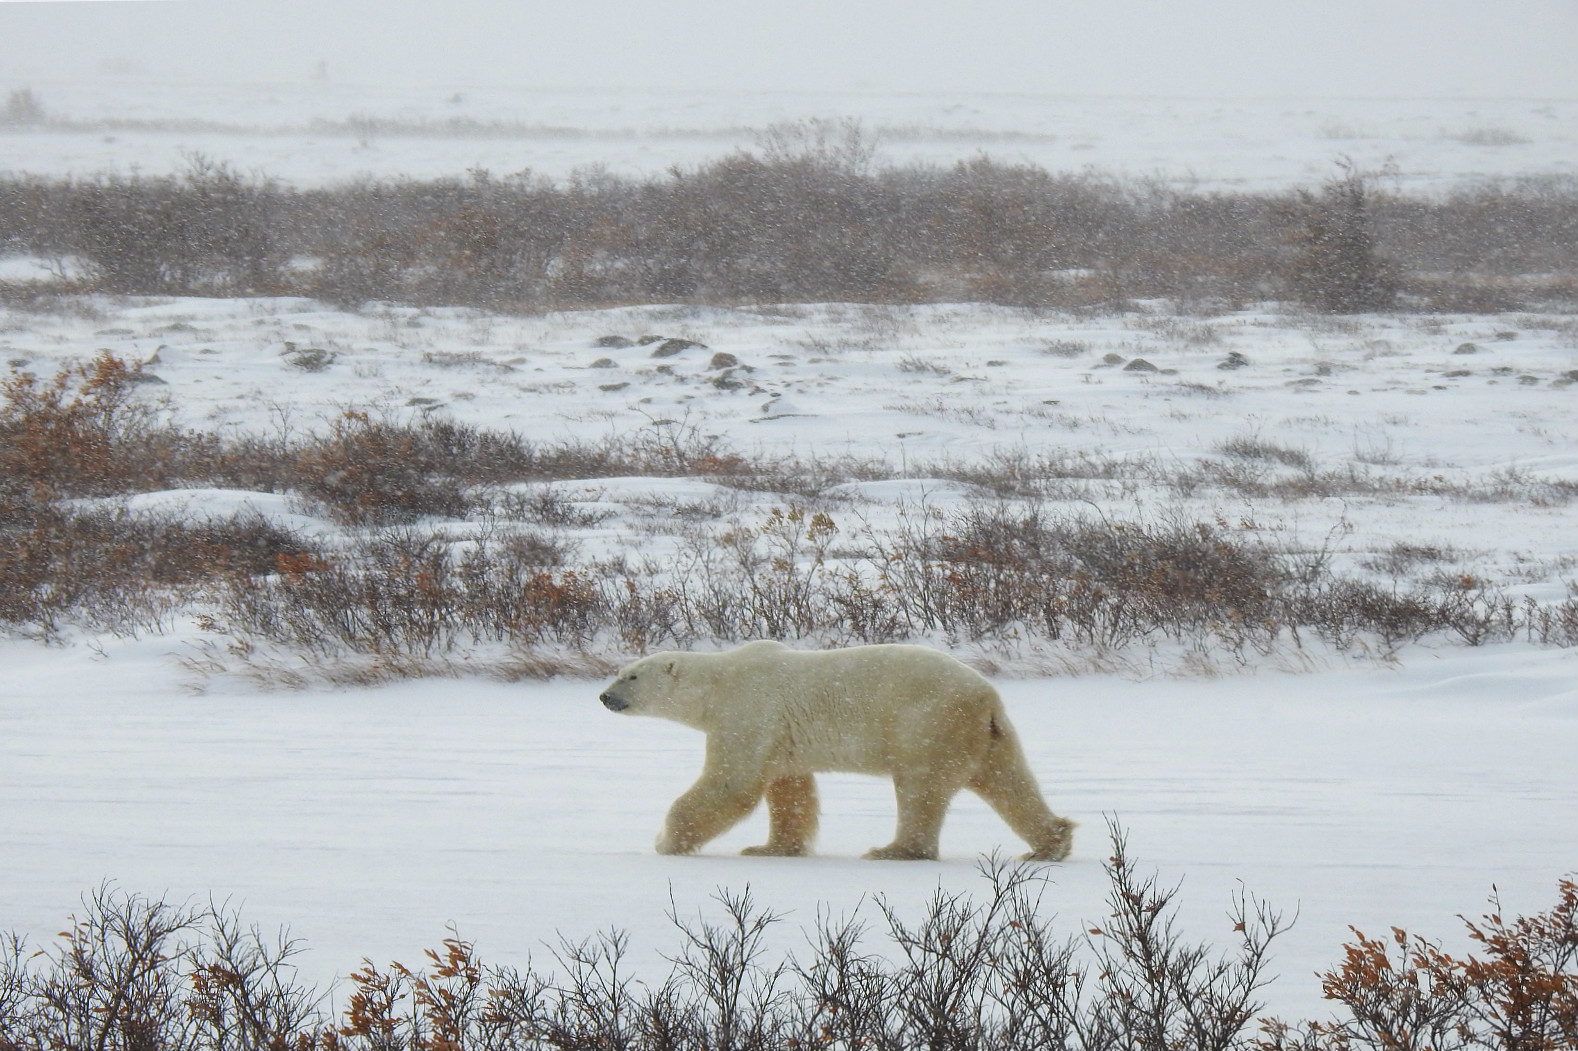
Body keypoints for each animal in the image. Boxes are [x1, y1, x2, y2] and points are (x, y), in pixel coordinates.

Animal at [599, 637, 1073, 858]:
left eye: (631, 676)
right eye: (620, 672)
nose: (604, 696)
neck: (719, 683)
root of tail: (986, 696)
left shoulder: (748, 711)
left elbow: (731, 783)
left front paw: (665, 841)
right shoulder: (781, 734)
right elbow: (789, 790)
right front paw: (769, 848)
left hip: (928, 722)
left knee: (920, 787)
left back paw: (892, 850)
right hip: (989, 737)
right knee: (1010, 782)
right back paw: (1048, 844)